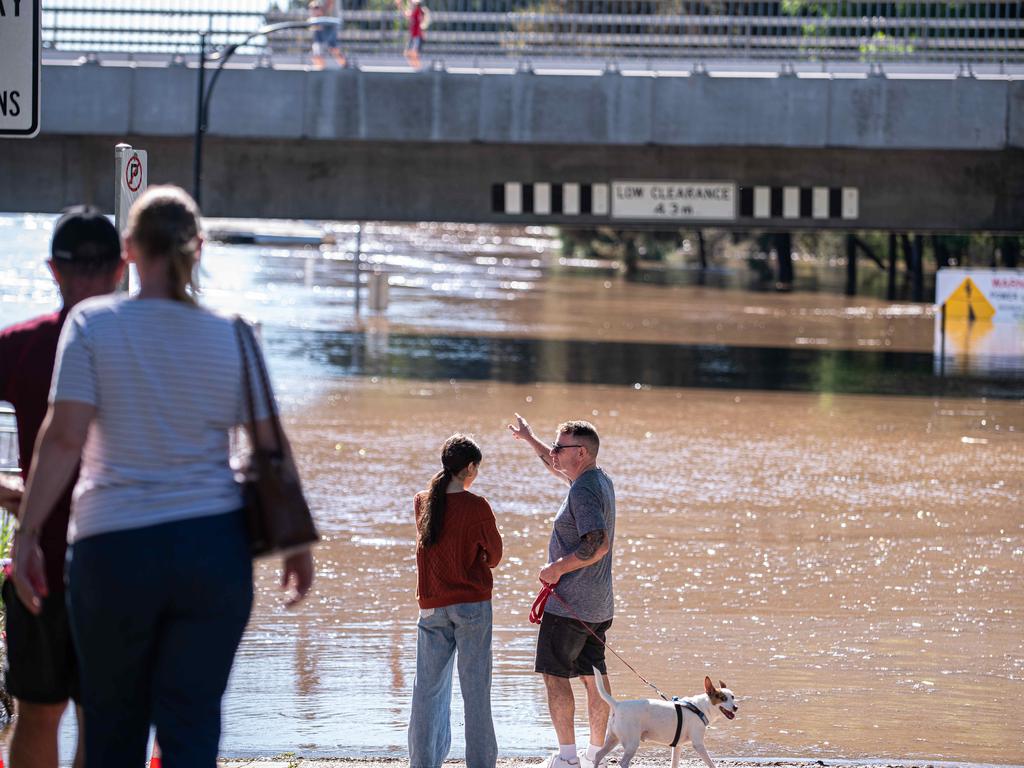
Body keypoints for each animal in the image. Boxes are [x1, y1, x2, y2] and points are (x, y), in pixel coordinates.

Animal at [593, 667, 737, 768]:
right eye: (723, 698)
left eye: (733, 697)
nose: (736, 707)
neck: (700, 707)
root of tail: (617, 704)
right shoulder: (698, 744)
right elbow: (711, 764)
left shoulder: (677, 747)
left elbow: (674, 764)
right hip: (631, 743)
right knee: (622, 762)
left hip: (613, 739)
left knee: (598, 755)